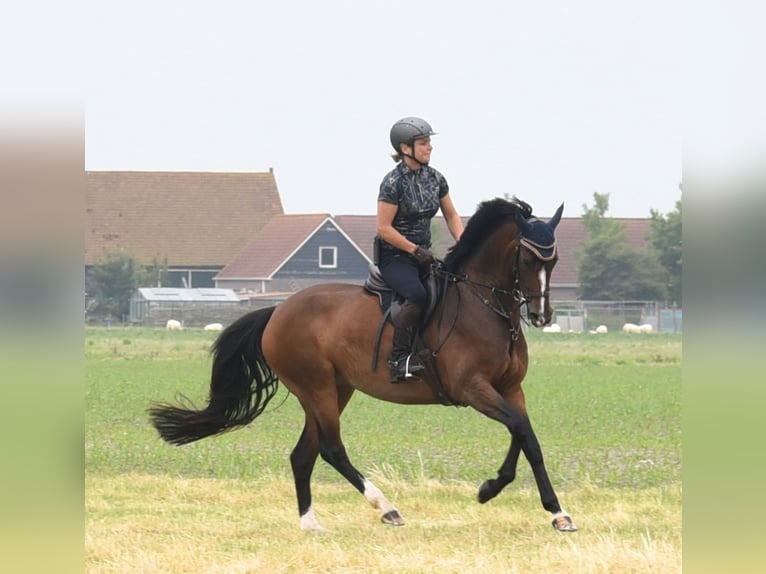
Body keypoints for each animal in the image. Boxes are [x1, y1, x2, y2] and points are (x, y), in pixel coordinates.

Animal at [149, 197, 577, 532]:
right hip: (317, 388)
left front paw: (549, 510)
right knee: (331, 449)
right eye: (527, 257)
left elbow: (526, 436)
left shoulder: (509, 389)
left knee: (303, 454)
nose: (541, 316)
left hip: (334, 390)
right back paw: (386, 508)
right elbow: (520, 429)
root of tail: (277, 311)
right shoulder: (473, 388)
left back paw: (311, 524)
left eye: (554, 259)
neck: (484, 306)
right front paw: (501, 491)